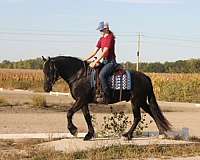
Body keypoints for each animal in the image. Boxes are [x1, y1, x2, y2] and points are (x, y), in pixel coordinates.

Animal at [42, 56, 172, 140]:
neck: (79, 75)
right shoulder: (83, 101)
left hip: (136, 101)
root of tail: (145, 77)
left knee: (138, 117)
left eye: (49, 70)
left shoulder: (81, 100)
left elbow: (69, 113)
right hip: (141, 101)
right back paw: (161, 133)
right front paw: (89, 134)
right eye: (43, 71)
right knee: (152, 113)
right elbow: (87, 117)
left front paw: (73, 130)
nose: (46, 88)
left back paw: (127, 135)